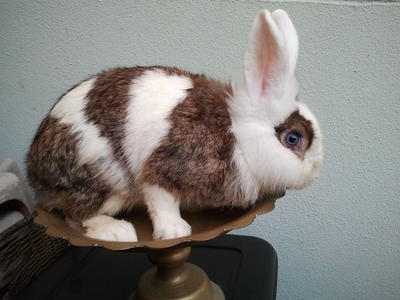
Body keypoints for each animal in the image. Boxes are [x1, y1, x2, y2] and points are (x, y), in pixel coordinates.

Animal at [26, 9, 322, 243]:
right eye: (292, 139)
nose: (315, 171)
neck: (237, 134)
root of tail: (33, 169)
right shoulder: (163, 168)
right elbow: (161, 199)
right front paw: (174, 231)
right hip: (101, 175)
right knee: (75, 215)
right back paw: (116, 231)